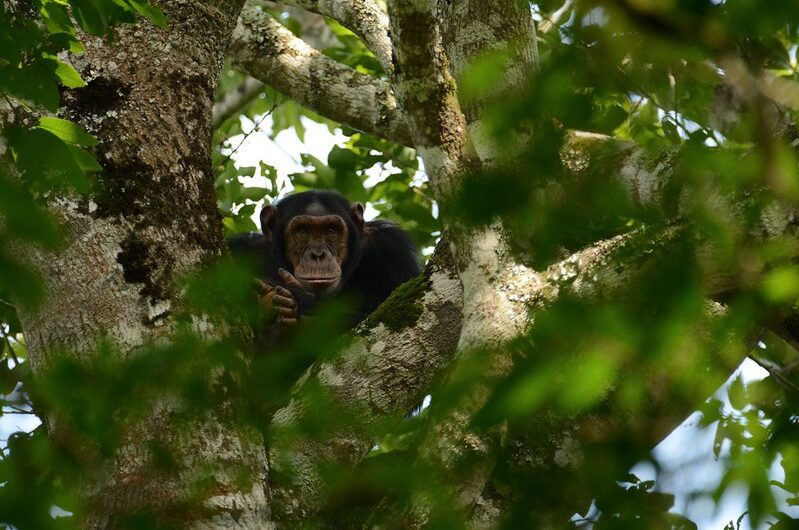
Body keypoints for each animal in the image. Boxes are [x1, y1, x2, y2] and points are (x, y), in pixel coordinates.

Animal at [228, 189, 422, 330]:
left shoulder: (392, 250)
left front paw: (300, 299)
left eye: (331, 230)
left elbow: (396, 311)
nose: (318, 254)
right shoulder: (241, 251)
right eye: (302, 231)